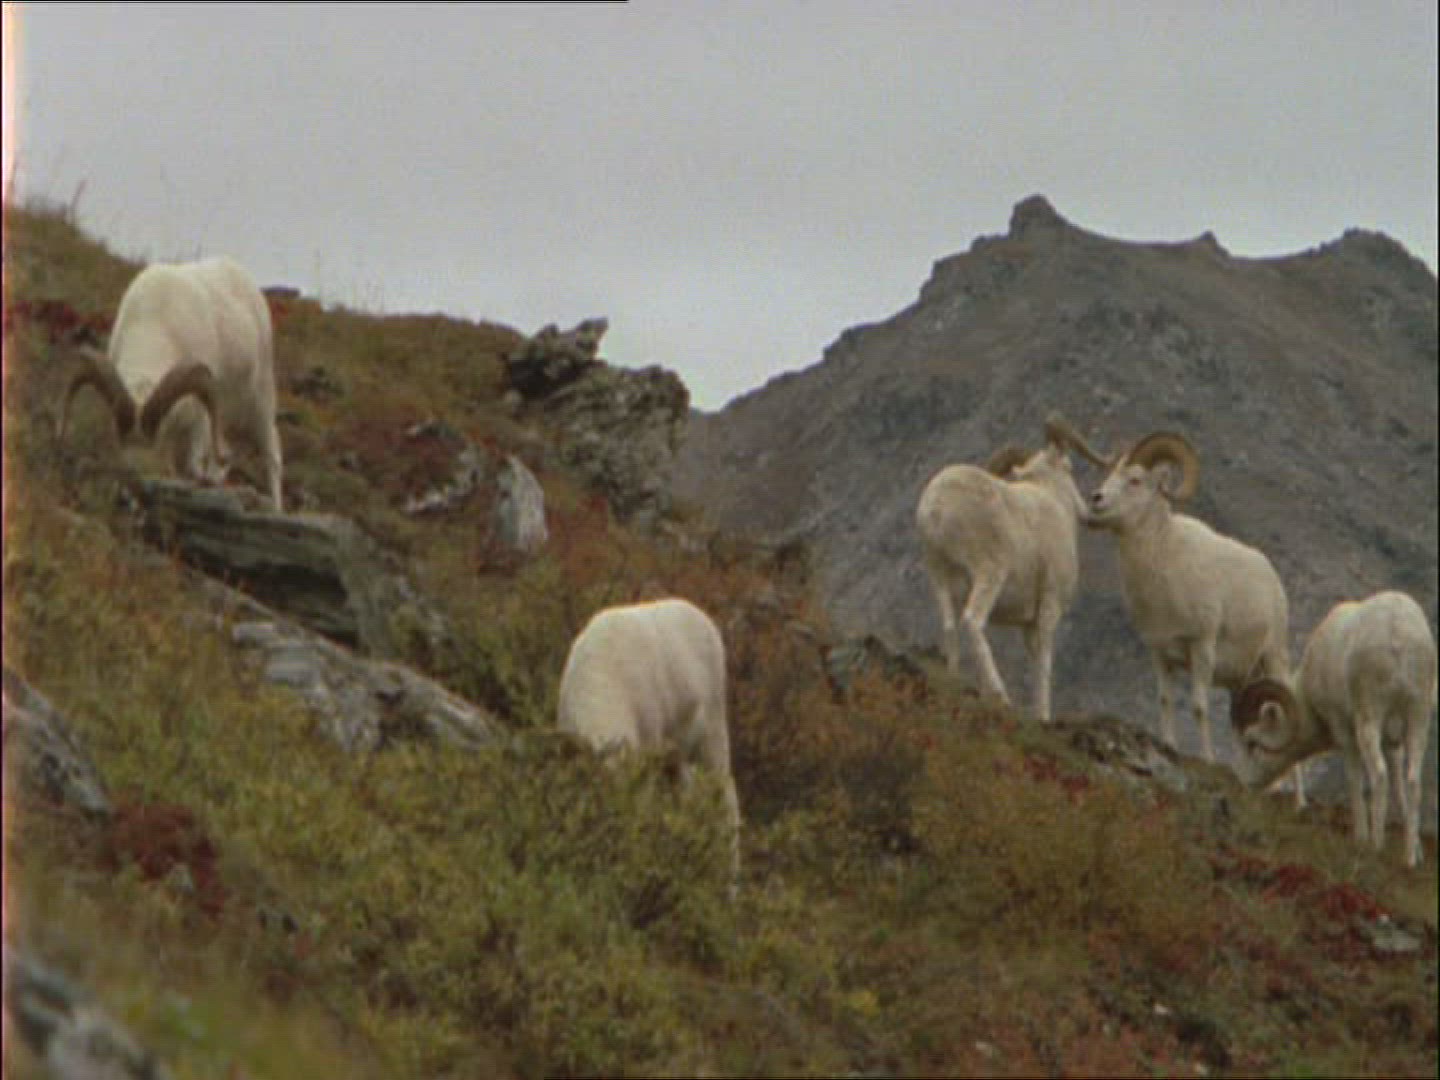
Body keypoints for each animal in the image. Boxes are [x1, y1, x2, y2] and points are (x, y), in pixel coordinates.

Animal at [59, 256, 284, 510]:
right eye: (122, 449)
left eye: (157, 444)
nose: (129, 497)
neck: (154, 319)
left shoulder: (201, 417)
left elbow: (192, 466)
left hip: (260, 401)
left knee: (272, 455)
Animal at [915, 413, 1096, 724]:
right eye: (1069, 467)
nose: (1086, 511)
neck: (1053, 501)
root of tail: (936, 507)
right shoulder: (1048, 608)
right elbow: (1044, 664)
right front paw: (1043, 716)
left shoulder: (1027, 624)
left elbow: (1034, 662)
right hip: (988, 573)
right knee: (973, 621)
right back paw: (1001, 696)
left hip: (938, 577)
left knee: (949, 626)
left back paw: (954, 680)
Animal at [1074, 426, 1305, 803]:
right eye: (1110, 474)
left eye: (1135, 479)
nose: (1095, 501)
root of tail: (1270, 576)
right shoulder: (1159, 653)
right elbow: (1166, 700)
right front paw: (1169, 747)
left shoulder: (1201, 647)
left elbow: (1198, 706)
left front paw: (1208, 760)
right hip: (1241, 682)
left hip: (1274, 659)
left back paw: (1298, 801)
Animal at [1232, 591, 1436, 867]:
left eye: (1251, 743)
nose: (1243, 783)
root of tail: (1397, 632)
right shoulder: (1393, 744)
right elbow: (1400, 788)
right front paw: (1416, 851)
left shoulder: (1344, 731)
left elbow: (1355, 779)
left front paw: (1361, 839)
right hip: (1418, 718)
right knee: (1413, 782)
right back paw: (1409, 862)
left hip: (1369, 719)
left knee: (1378, 776)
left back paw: (1376, 846)